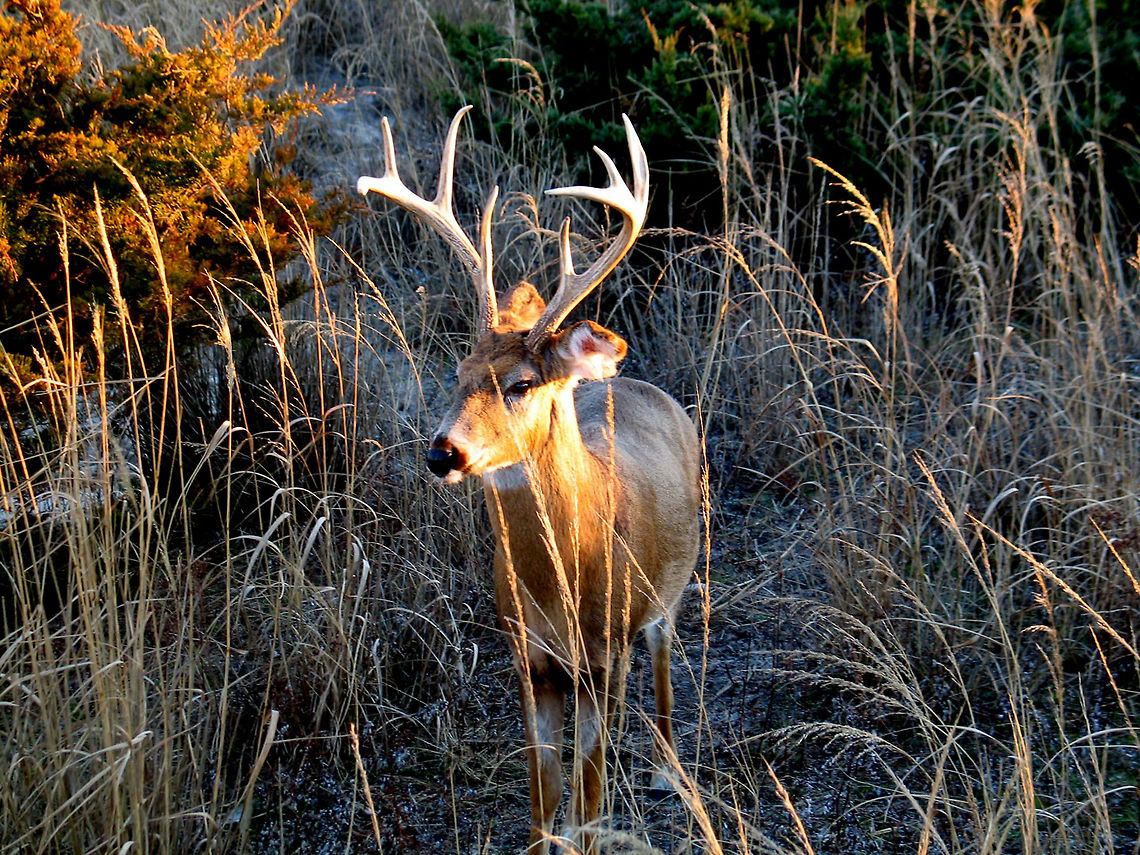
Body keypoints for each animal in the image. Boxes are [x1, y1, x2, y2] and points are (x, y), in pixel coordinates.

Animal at [358, 106, 701, 854]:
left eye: (519, 384)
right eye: (458, 373)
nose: (443, 453)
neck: (565, 581)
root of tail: (639, 383)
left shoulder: (605, 655)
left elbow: (590, 794)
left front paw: (596, 823)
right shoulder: (528, 655)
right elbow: (546, 797)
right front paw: (554, 833)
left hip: (668, 589)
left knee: (665, 655)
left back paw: (668, 770)